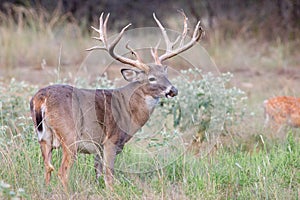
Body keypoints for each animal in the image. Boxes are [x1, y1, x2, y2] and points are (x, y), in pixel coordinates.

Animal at [29, 11, 204, 190]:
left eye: (165, 74)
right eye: (152, 78)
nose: (173, 90)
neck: (128, 110)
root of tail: (41, 98)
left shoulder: (98, 147)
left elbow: (98, 174)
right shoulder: (110, 141)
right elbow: (109, 177)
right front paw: (111, 191)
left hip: (44, 137)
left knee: (47, 168)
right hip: (70, 137)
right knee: (62, 172)